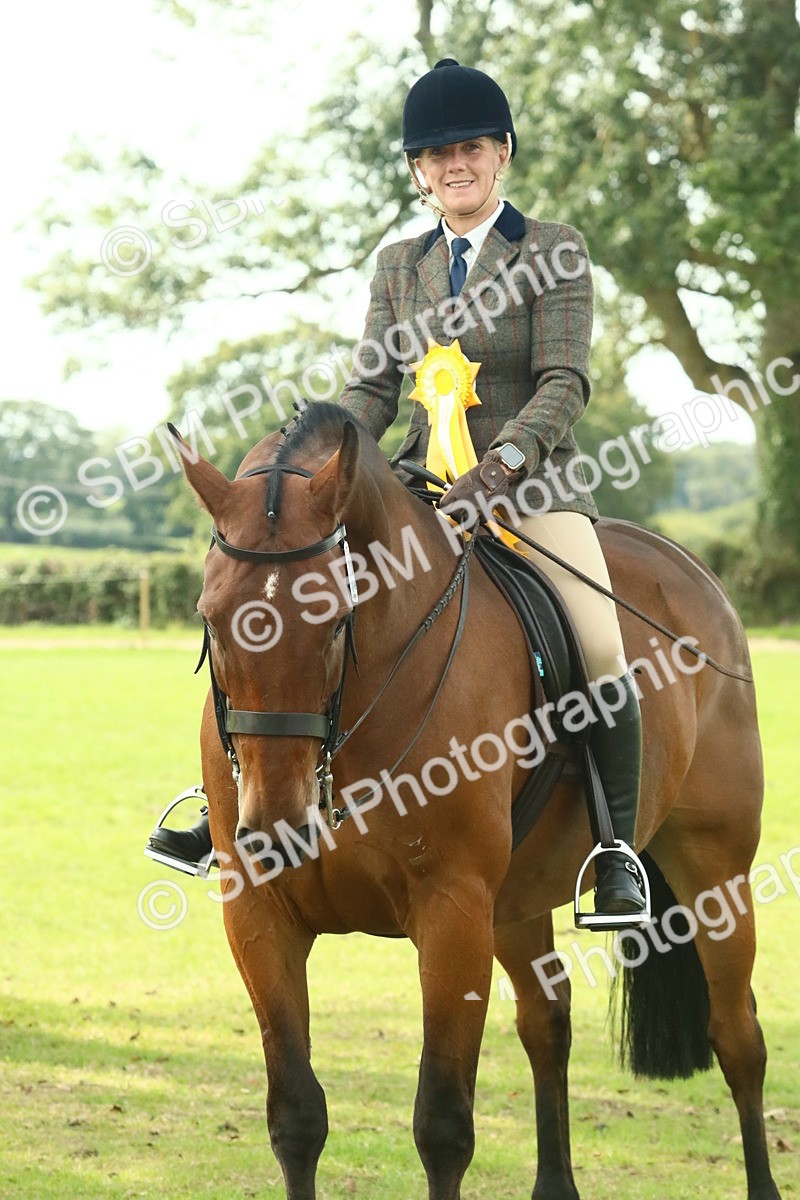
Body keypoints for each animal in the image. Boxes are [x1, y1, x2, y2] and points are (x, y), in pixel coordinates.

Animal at [173, 401, 783, 1200]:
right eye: (211, 619)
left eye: (336, 620)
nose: (278, 830)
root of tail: (688, 571)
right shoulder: (259, 912)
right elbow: (296, 1116)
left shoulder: (452, 909)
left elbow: (442, 1124)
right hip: (517, 898)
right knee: (546, 1023)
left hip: (714, 867)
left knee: (737, 1036)